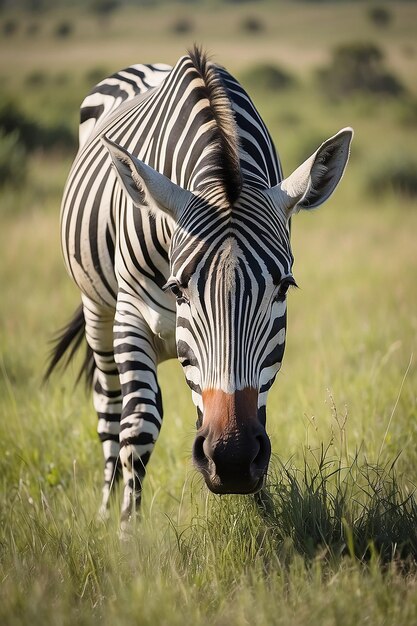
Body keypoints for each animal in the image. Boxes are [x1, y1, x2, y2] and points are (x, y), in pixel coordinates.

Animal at [46, 46, 352, 520]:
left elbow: (252, 412)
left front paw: (262, 517)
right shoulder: (131, 316)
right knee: (111, 406)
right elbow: (139, 427)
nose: (232, 457)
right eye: (178, 289)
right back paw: (105, 509)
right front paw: (127, 532)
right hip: (98, 311)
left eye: (284, 287)